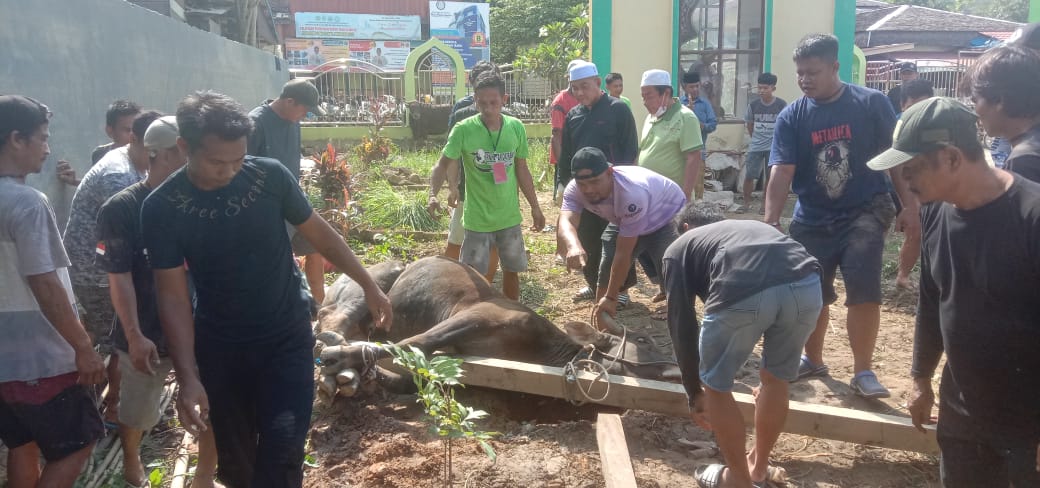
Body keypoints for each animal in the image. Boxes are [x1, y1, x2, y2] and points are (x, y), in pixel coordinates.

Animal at [312, 254, 678, 395]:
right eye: (644, 341)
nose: (676, 368)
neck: (538, 349)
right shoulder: (470, 318)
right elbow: (409, 344)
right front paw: (342, 360)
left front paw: (369, 375)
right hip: (369, 287)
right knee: (330, 320)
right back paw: (332, 350)